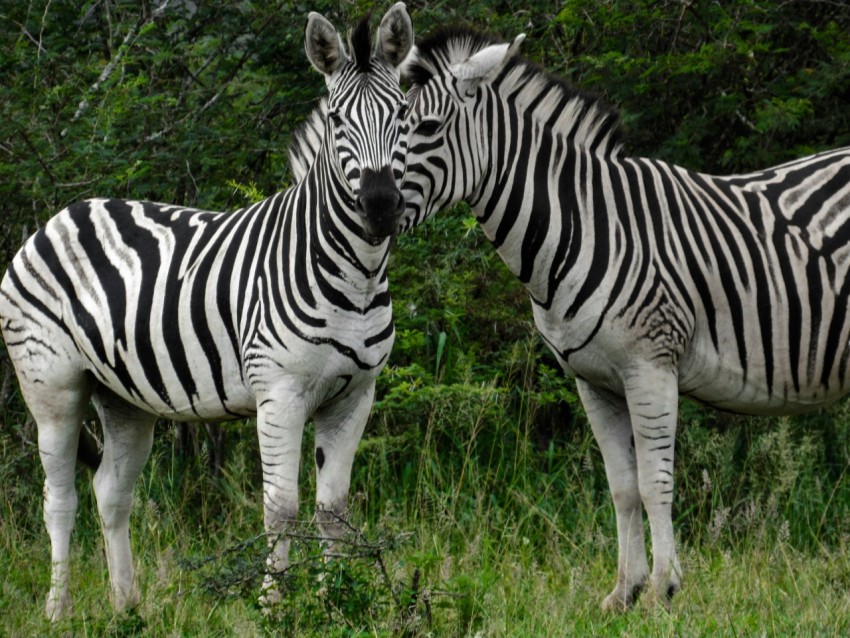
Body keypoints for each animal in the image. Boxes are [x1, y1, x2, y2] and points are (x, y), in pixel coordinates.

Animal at [0, 5, 412, 624]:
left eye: (404, 114)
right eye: (339, 120)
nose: (381, 207)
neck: (354, 274)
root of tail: (62, 214)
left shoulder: (355, 395)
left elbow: (333, 511)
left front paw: (334, 604)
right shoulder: (279, 392)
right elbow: (281, 508)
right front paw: (271, 607)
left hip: (122, 396)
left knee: (110, 492)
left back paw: (128, 607)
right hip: (51, 384)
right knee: (60, 499)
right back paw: (58, 610)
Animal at [400, 27, 848, 612]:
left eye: (428, 128)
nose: (368, 204)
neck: (584, 225)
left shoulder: (650, 365)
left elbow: (657, 483)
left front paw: (663, 589)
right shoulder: (593, 380)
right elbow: (622, 486)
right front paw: (624, 591)